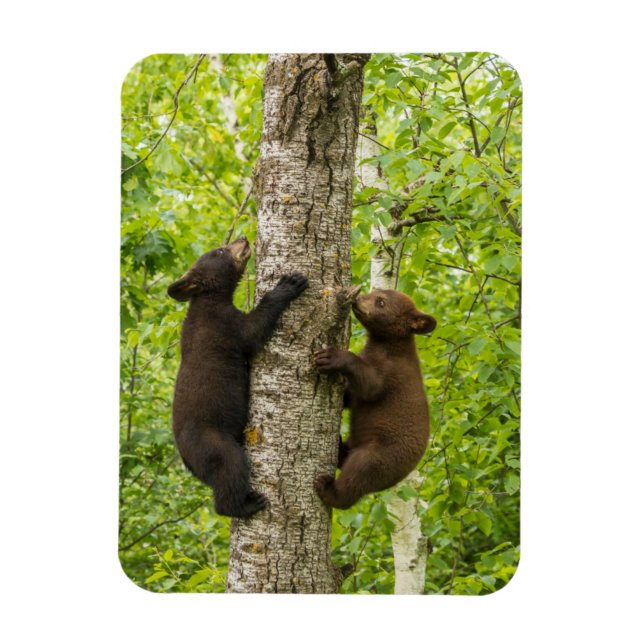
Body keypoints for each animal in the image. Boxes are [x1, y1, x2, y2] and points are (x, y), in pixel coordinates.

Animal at [168, 236, 308, 518]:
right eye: (220, 251)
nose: (242, 239)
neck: (208, 300)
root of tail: (187, 461)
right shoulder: (223, 325)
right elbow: (253, 330)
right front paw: (288, 284)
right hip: (213, 442)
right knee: (230, 467)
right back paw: (246, 504)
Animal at [313, 288, 436, 509]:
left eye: (381, 302)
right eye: (374, 292)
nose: (358, 299)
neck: (388, 345)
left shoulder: (392, 373)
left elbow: (370, 386)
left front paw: (332, 357)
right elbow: (352, 395)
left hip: (382, 456)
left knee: (359, 473)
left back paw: (329, 490)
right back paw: (340, 447)